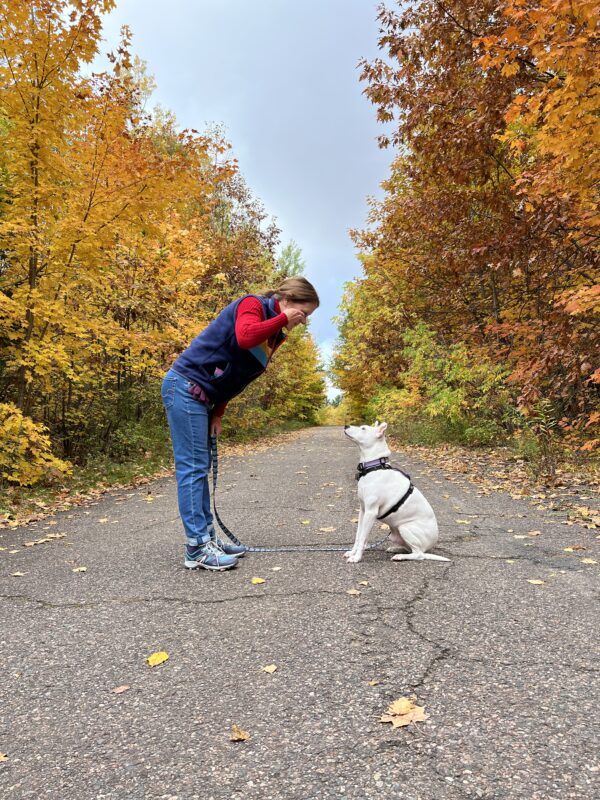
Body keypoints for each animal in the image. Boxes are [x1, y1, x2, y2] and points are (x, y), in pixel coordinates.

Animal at [342, 422, 450, 564]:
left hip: (406, 528)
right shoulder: (363, 510)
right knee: (411, 550)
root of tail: (431, 544)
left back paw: (400, 556)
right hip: (394, 535)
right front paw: (352, 552)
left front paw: (357, 557)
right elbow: (358, 536)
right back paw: (396, 549)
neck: (375, 467)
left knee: (419, 554)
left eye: (363, 428)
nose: (345, 425)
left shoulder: (371, 512)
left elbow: (363, 538)